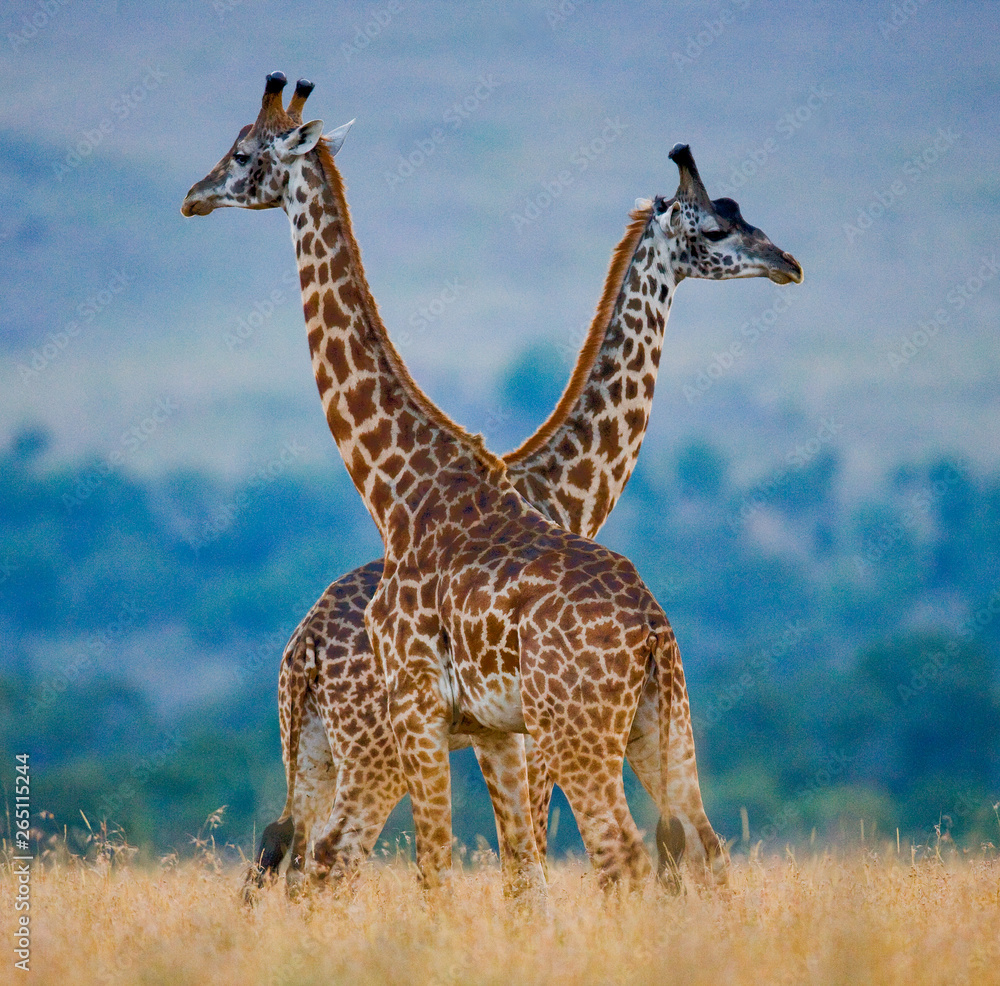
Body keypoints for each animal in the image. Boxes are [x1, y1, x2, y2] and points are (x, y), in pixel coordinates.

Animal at [182, 73, 802, 898]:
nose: (787, 262)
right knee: (314, 859)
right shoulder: (485, 730)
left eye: (244, 153)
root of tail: (299, 652)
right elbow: (498, 873)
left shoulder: (475, 726)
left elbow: (499, 873)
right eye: (715, 228)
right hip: (389, 749)